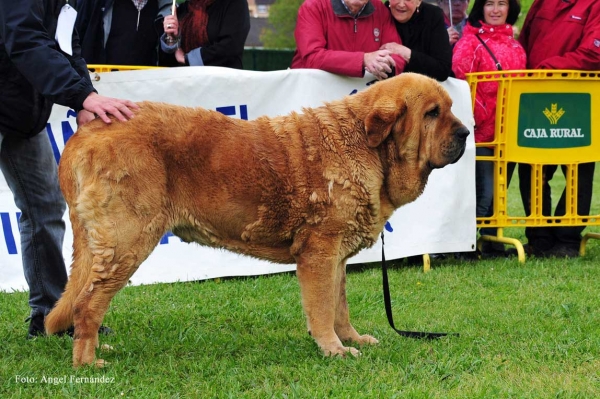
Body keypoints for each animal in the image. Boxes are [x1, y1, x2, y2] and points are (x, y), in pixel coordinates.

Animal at [45, 73, 468, 368]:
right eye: (433, 114)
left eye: (449, 109)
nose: (466, 132)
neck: (367, 146)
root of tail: (86, 132)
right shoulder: (319, 253)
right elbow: (322, 307)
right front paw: (333, 349)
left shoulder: (336, 257)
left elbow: (339, 304)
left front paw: (350, 338)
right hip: (128, 243)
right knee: (88, 305)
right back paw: (88, 362)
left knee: (83, 301)